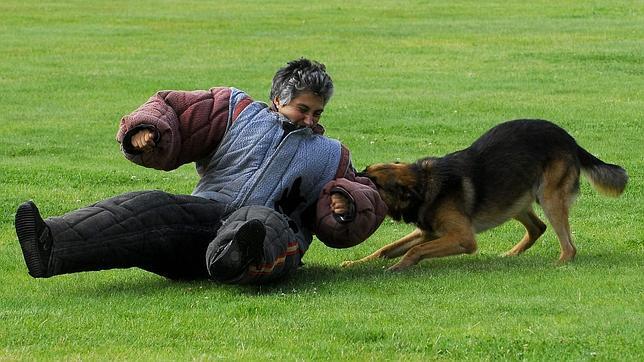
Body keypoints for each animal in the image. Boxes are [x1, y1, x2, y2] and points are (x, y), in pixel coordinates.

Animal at [342, 120, 628, 270]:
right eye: (366, 171)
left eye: (372, 181)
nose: (352, 171)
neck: (424, 184)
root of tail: (570, 139)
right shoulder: (428, 232)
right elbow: (385, 249)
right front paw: (357, 262)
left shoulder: (462, 238)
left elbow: (415, 250)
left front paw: (398, 267)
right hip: (513, 199)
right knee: (538, 228)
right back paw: (511, 255)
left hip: (549, 198)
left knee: (569, 246)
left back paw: (559, 263)